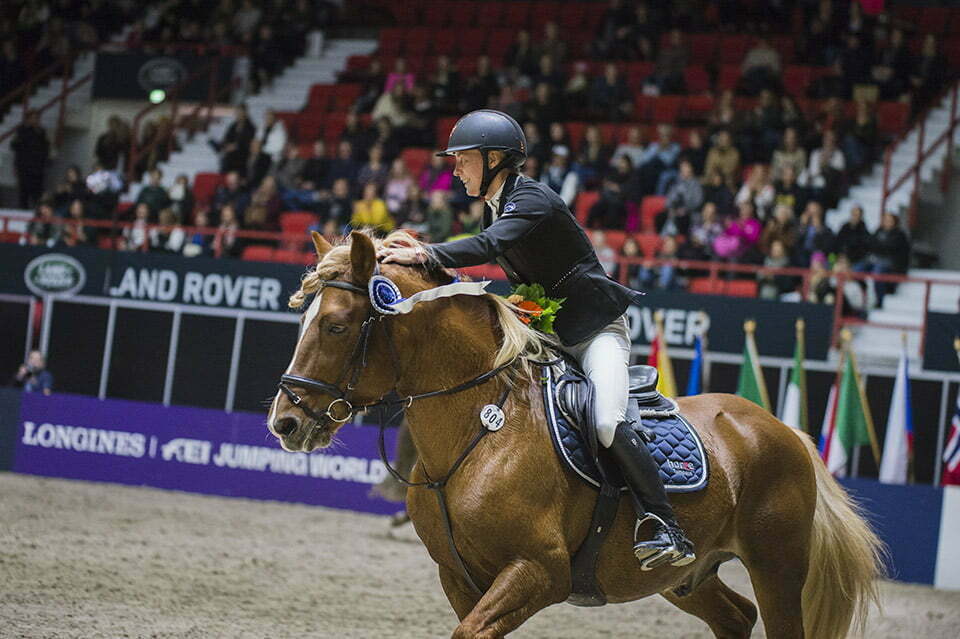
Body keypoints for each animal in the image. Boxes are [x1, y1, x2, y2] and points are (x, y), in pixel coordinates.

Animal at [267, 230, 884, 638]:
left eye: (336, 326)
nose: (285, 422)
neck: (480, 430)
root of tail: (783, 429)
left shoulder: (540, 572)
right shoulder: (460, 578)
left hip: (777, 567)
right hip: (688, 576)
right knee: (735, 618)